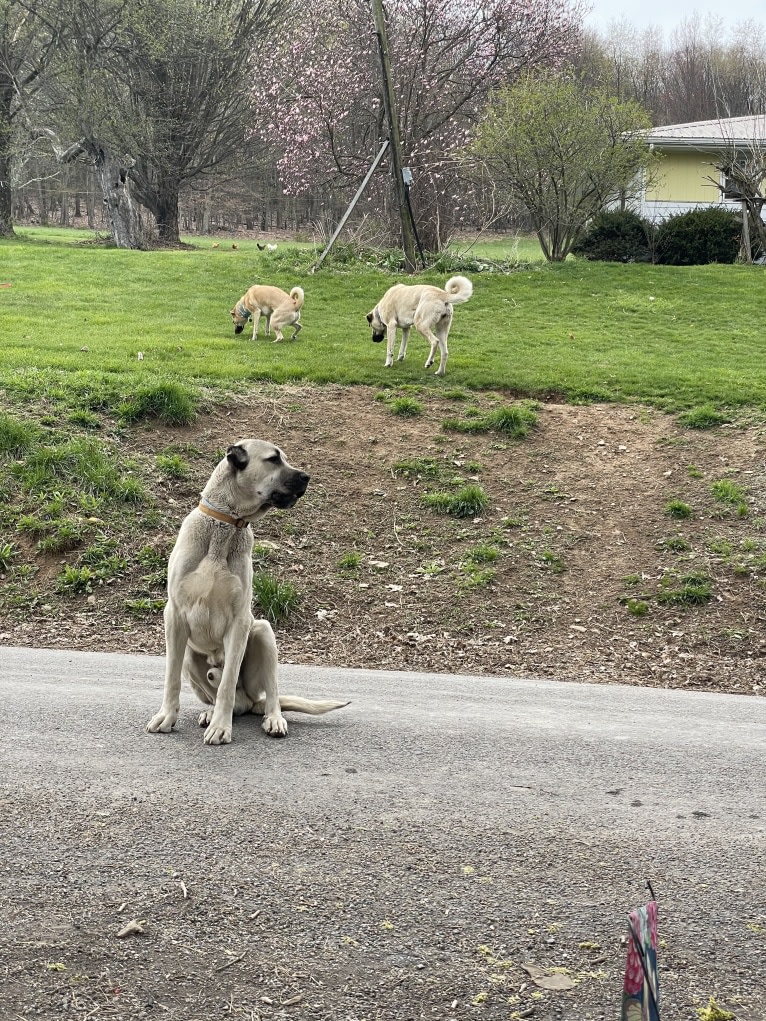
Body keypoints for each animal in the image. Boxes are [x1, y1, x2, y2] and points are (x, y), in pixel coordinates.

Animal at [146, 439, 347, 743]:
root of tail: (252, 701)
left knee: (264, 694)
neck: (227, 524)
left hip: (263, 632)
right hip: (191, 656)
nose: (307, 477)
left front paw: (221, 727)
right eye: (274, 459)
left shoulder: (240, 621)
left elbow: (228, 682)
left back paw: (272, 718)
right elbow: (171, 679)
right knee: (221, 695)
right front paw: (166, 717)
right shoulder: (175, 615)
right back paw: (210, 712)